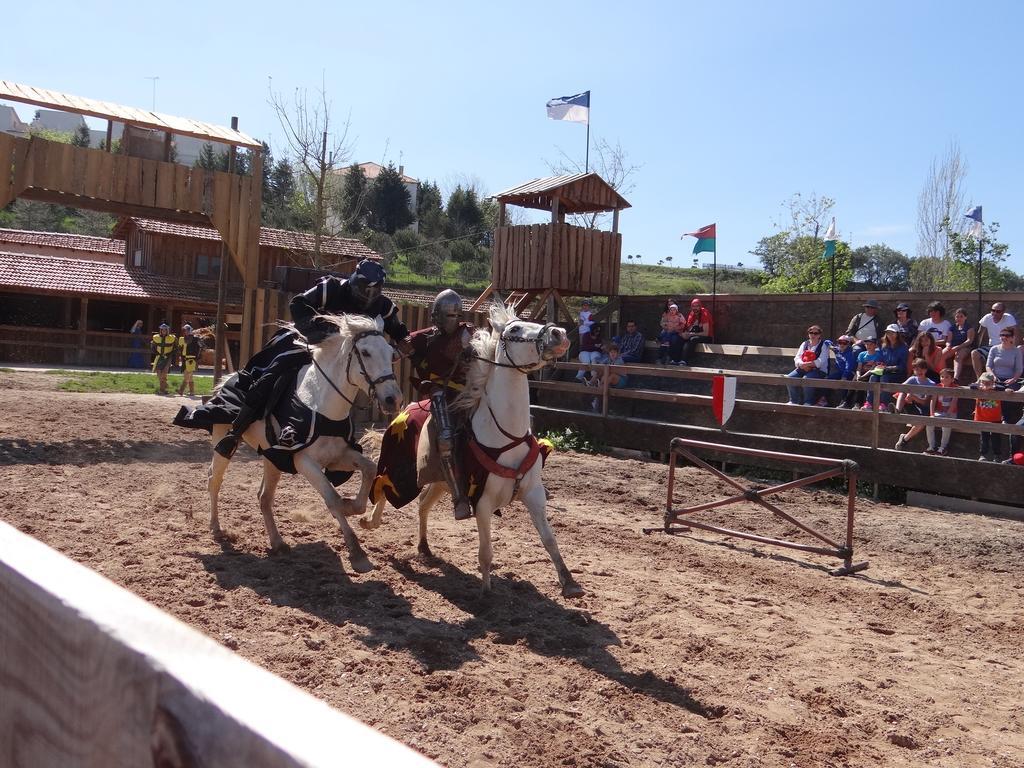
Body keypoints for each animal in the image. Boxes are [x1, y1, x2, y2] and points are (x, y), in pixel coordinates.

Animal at [205, 315, 401, 573]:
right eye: (366, 353)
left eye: (391, 353)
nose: (392, 399)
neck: (321, 406)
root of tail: (226, 381)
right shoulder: (304, 461)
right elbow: (332, 500)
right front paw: (357, 554)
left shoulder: (339, 456)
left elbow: (369, 469)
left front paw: (356, 510)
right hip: (223, 442)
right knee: (215, 480)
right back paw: (216, 527)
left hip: (272, 459)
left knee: (263, 497)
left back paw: (278, 543)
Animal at [362, 303, 585, 598]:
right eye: (515, 329)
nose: (558, 334)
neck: (505, 435)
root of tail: (405, 410)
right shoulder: (483, 502)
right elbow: (486, 552)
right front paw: (486, 593)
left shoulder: (533, 495)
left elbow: (549, 540)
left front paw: (569, 582)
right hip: (401, 470)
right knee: (384, 487)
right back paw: (371, 521)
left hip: (440, 481)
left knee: (422, 505)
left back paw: (423, 546)